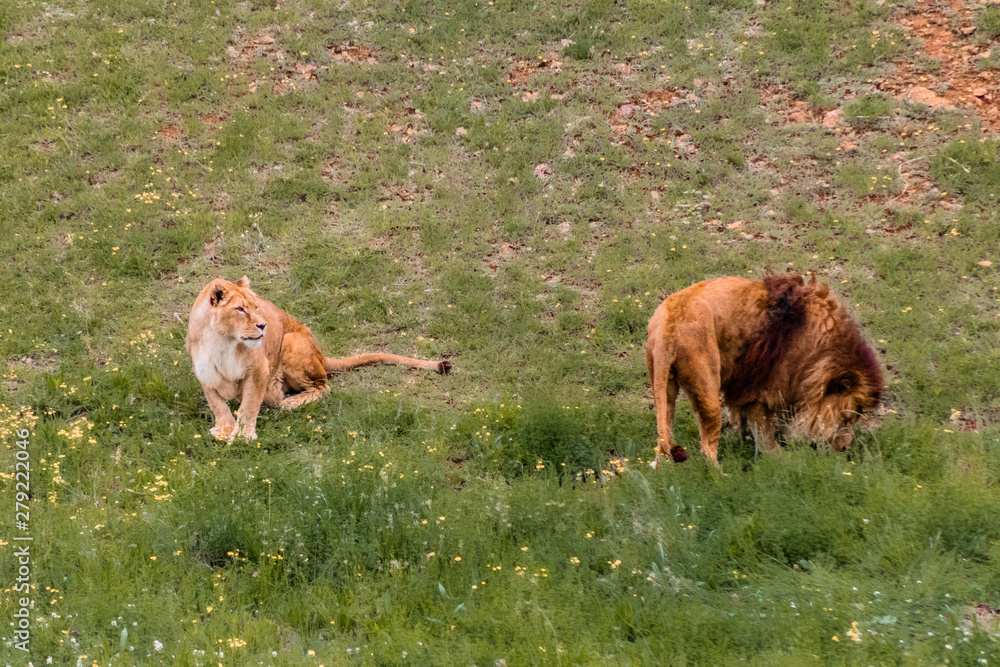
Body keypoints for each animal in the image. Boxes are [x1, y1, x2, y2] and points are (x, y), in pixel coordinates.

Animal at [186, 276, 451, 442]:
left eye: (256, 306)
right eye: (240, 309)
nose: (263, 325)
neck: (223, 342)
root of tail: (322, 354)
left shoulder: (259, 370)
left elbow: (249, 406)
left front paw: (242, 436)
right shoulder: (205, 374)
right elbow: (218, 406)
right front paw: (225, 431)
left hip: (292, 341)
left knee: (323, 386)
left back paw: (289, 402)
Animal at [645, 272, 883, 467]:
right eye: (846, 419)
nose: (844, 447)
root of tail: (669, 327)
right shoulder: (763, 389)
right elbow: (764, 432)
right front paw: (780, 460)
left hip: (664, 388)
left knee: (663, 439)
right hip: (706, 389)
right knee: (707, 450)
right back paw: (722, 478)